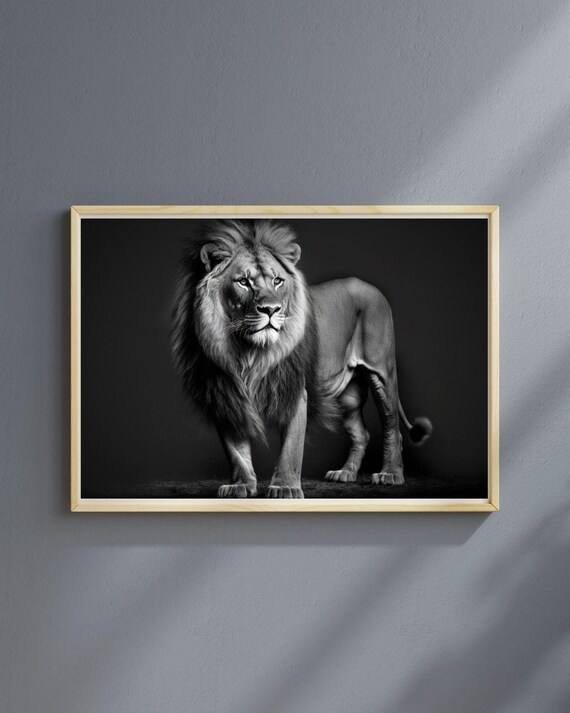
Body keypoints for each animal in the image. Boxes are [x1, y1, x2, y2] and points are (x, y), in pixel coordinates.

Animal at [171, 219, 432, 498]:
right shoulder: (224, 392)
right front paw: (241, 485)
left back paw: (390, 474)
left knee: (392, 425)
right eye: (243, 281)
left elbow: (291, 447)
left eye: (277, 280)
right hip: (346, 395)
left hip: (381, 372)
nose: (271, 309)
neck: (247, 352)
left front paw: (284, 488)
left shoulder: (294, 389)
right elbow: (235, 451)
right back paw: (345, 473)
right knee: (362, 433)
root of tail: (368, 286)